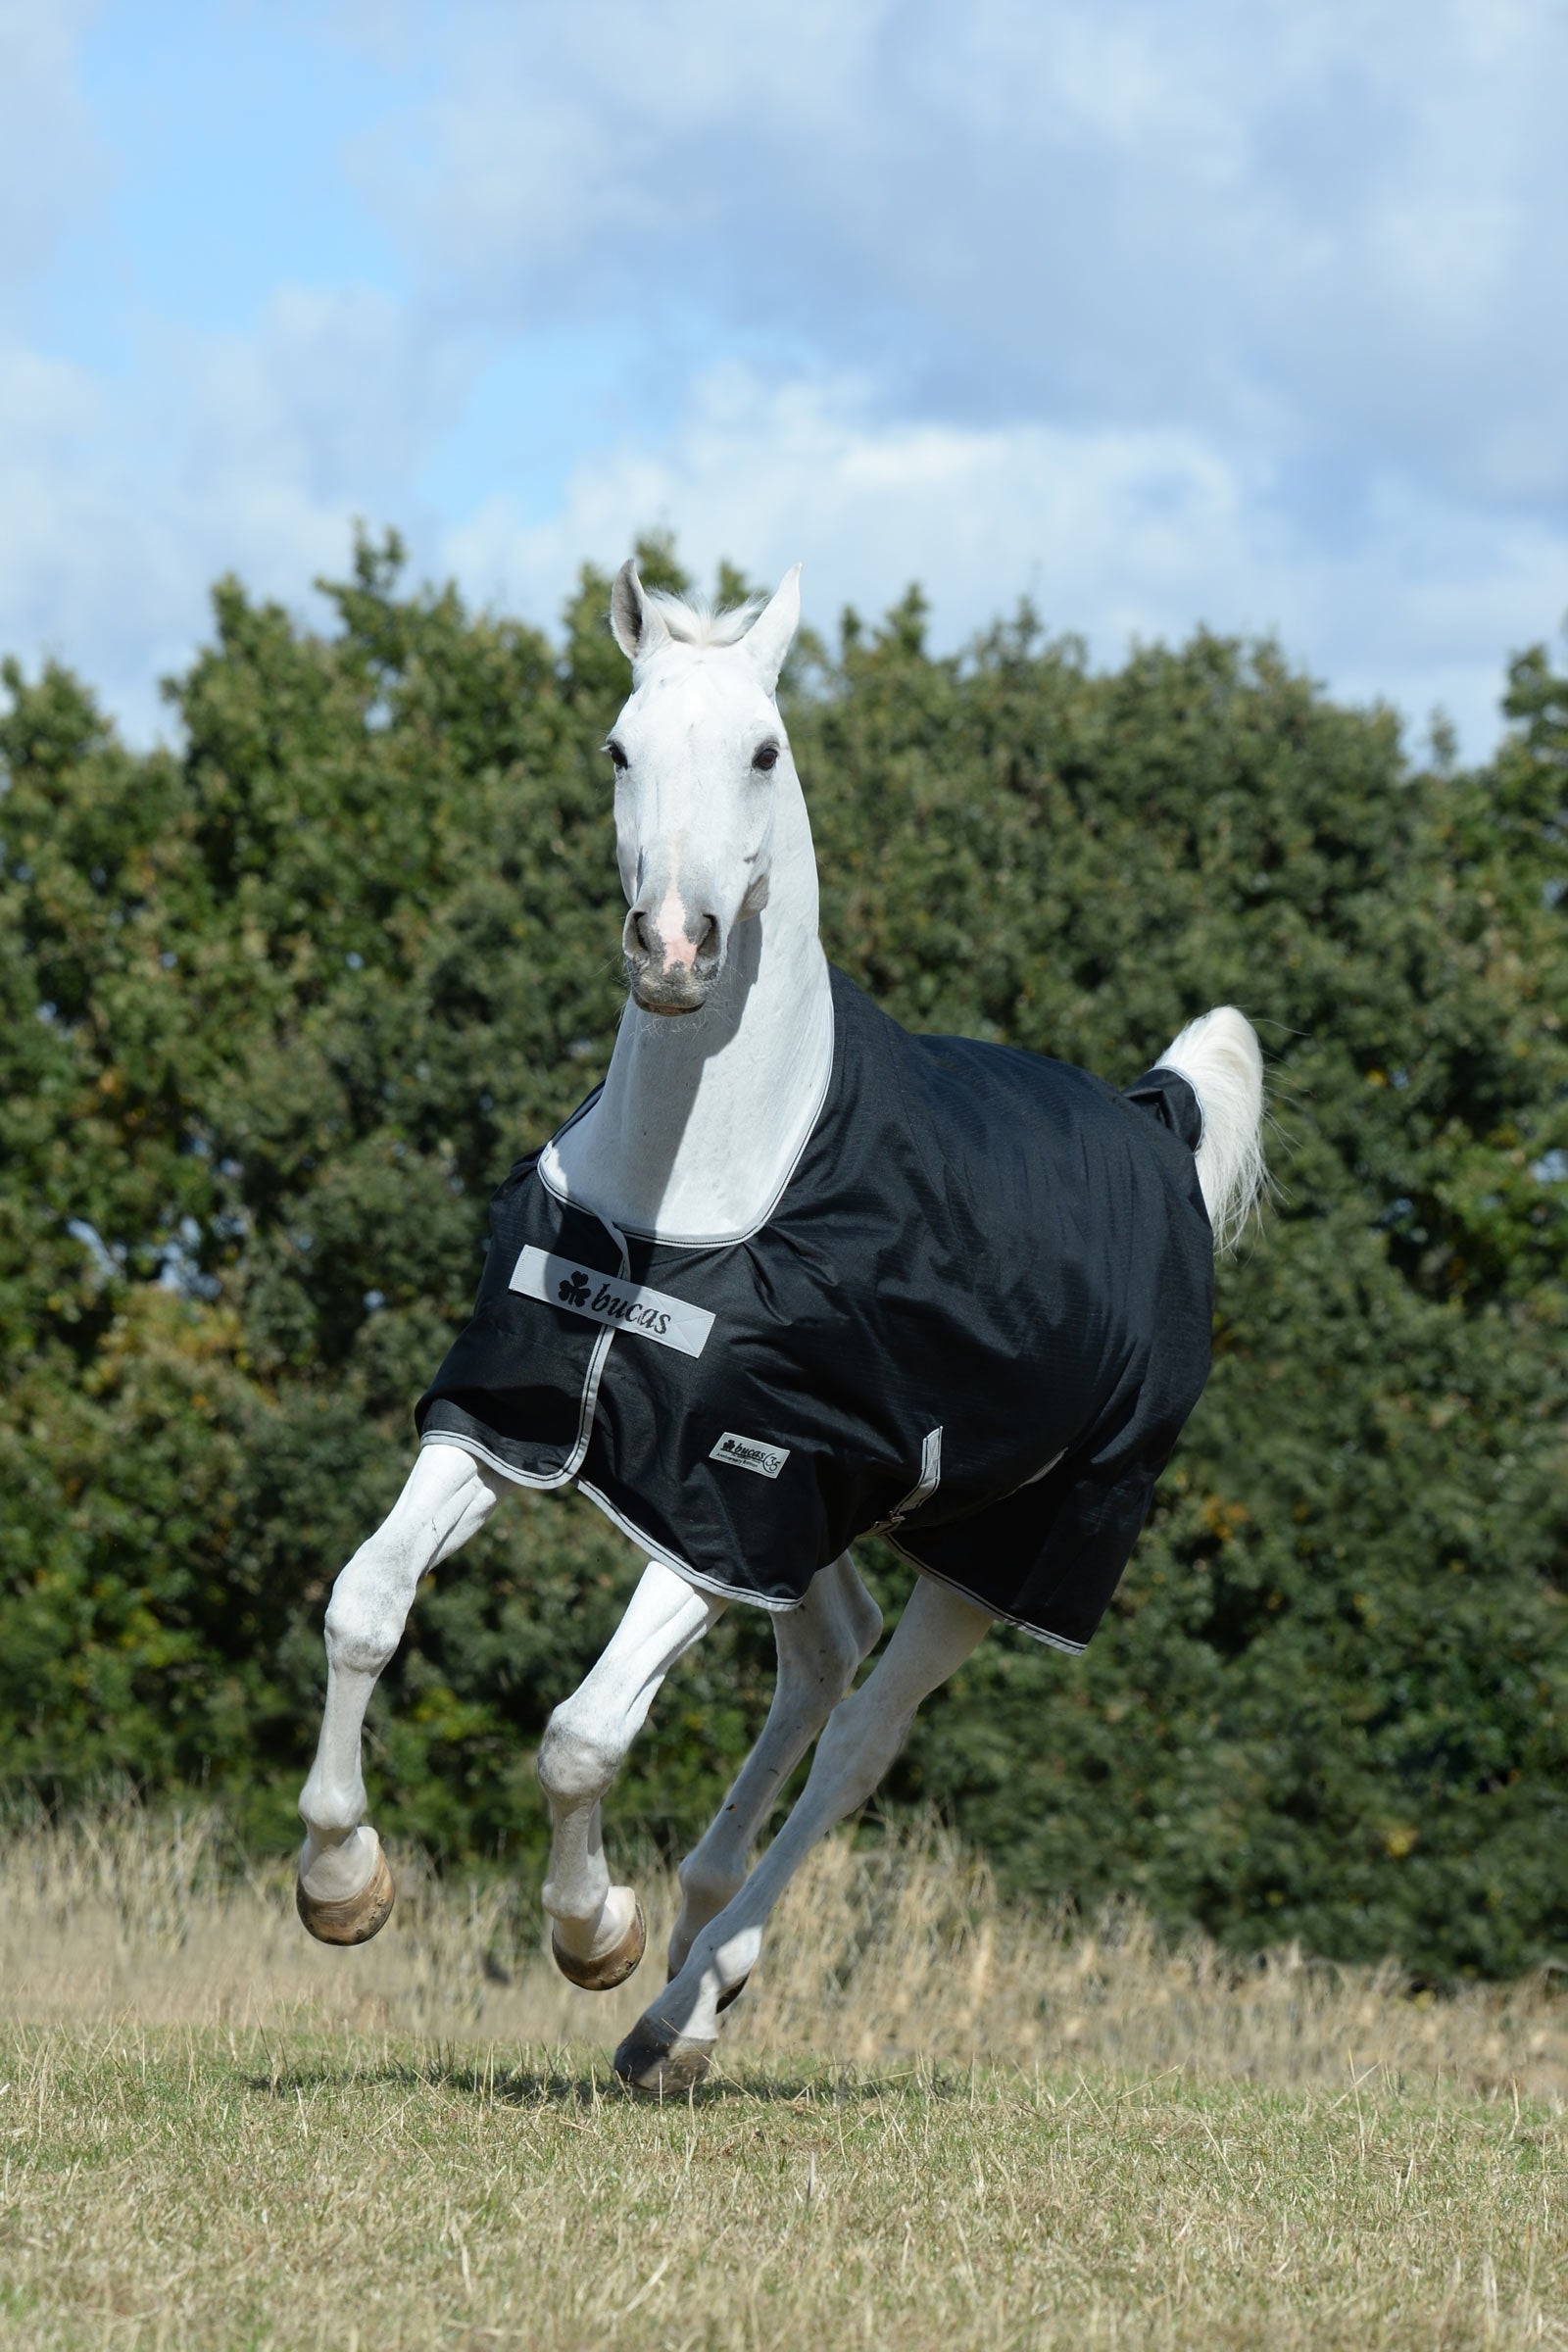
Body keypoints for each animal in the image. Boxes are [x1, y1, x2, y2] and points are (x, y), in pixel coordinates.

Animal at [295, 560, 1267, 2095]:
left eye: (765, 750)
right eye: (618, 748)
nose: (675, 951)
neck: (690, 1208)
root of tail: (1160, 1125)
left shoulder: (723, 1507)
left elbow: (581, 1736)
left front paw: (596, 1929)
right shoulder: (521, 1425)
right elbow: (364, 1603)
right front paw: (342, 1882)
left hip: (999, 1556)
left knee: (861, 1738)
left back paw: (687, 2001)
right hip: (828, 1522)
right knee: (823, 1658)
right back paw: (686, 1973)